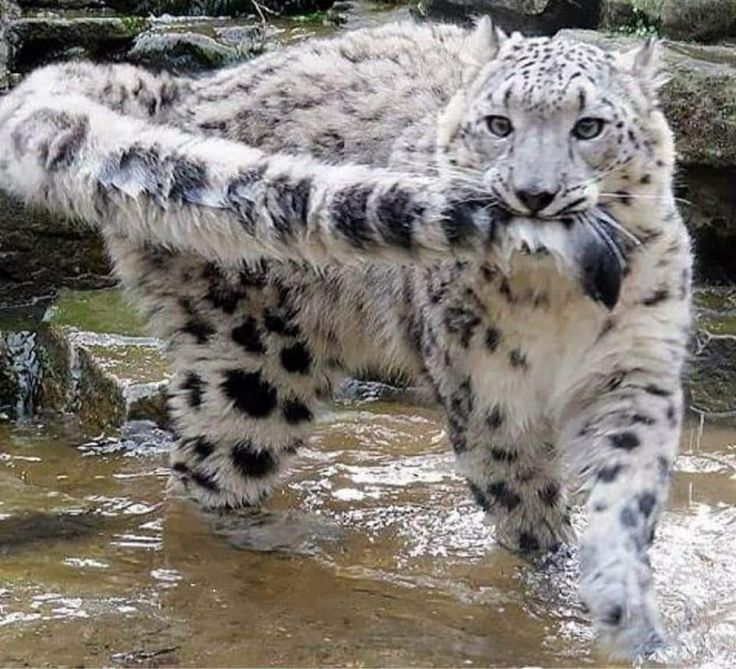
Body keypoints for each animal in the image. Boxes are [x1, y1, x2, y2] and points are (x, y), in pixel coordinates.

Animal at [0, 17, 688, 656]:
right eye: (499, 123)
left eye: (589, 126)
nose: (534, 194)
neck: (557, 302)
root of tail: (182, 90)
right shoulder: (489, 396)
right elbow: (525, 500)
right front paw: (549, 572)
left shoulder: (636, 368)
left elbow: (627, 486)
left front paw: (622, 600)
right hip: (254, 363)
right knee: (206, 471)